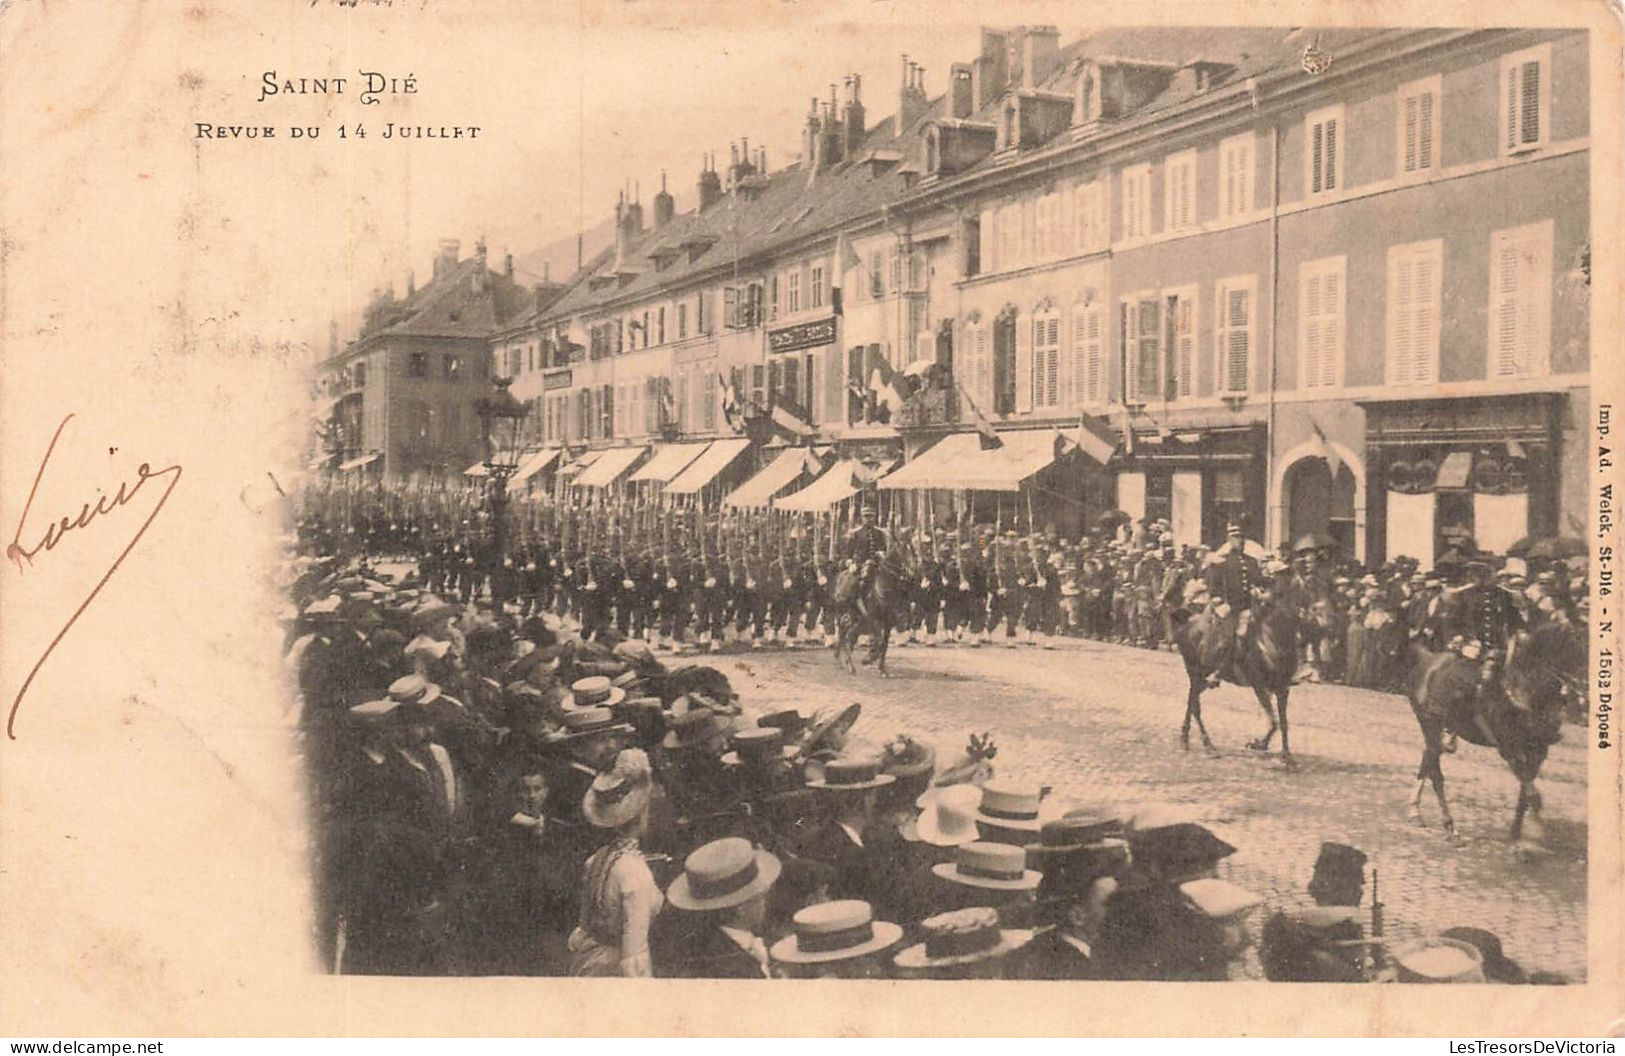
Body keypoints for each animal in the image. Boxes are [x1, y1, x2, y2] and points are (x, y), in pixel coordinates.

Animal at [1170, 601, 1306, 763]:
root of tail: (1188, 620)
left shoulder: (1282, 689)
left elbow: (1283, 722)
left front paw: (1285, 755)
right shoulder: (1259, 686)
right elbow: (1274, 721)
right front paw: (1260, 745)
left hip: (1202, 678)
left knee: (1192, 701)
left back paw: (1186, 739)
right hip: (1196, 672)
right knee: (1195, 706)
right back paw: (1207, 745)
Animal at [1404, 623, 1579, 838]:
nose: (1573, 698)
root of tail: (1426, 659)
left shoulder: (1538, 751)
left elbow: (1525, 793)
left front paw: (1516, 833)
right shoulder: (1508, 748)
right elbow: (1531, 792)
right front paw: (1534, 833)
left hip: (1435, 732)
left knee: (1427, 759)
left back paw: (1415, 811)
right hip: (1429, 724)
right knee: (1436, 773)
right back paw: (1451, 828)